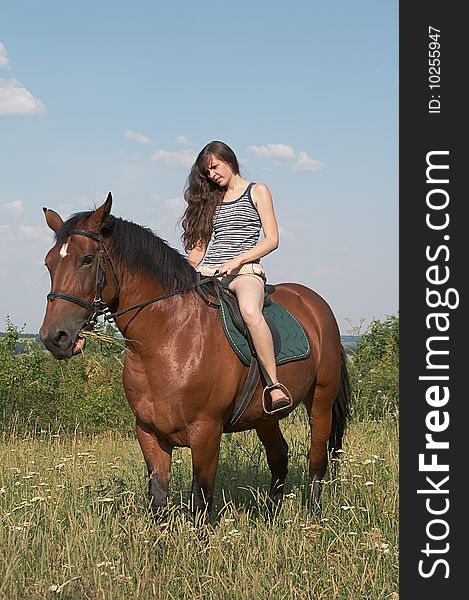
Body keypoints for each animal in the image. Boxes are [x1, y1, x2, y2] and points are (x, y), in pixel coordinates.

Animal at [39, 193, 348, 520]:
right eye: (49, 263)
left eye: (87, 259)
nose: (54, 337)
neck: (170, 338)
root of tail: (315, 304)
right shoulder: (149, 434)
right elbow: (158, 500)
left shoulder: (206, 434)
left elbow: (201, 500)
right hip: (265, 417)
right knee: (279, 456)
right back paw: (271, 516)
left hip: (320, 401)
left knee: (317, 460)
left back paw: (314, 516)